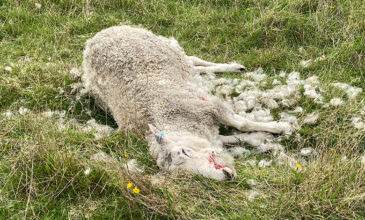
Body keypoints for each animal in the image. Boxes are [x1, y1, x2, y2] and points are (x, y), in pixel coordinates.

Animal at [81, 25, 292, 180]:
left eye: (185, 151)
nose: (226, 175)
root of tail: (96, 36)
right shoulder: (208, 131)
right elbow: (234, 138)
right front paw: (262, 138)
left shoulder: (210, 107)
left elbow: (243, 124)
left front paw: (281, 127)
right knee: (194, 67)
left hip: (169, 47)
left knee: (194, 59)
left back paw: (234, 67)